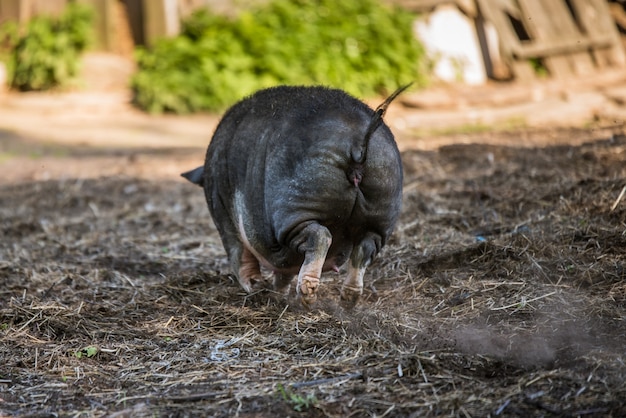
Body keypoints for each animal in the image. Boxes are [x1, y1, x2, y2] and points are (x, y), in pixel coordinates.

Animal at [180, 85, 408, 306]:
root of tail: (357, 142)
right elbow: (285, 270)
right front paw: (276, 295)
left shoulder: (223, 213)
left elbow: (239, 254)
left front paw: (254, 287)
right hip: (382, 204)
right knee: (363, 248)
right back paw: (347, 301)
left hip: (293, 207)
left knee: (321, 236)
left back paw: (306, 297)